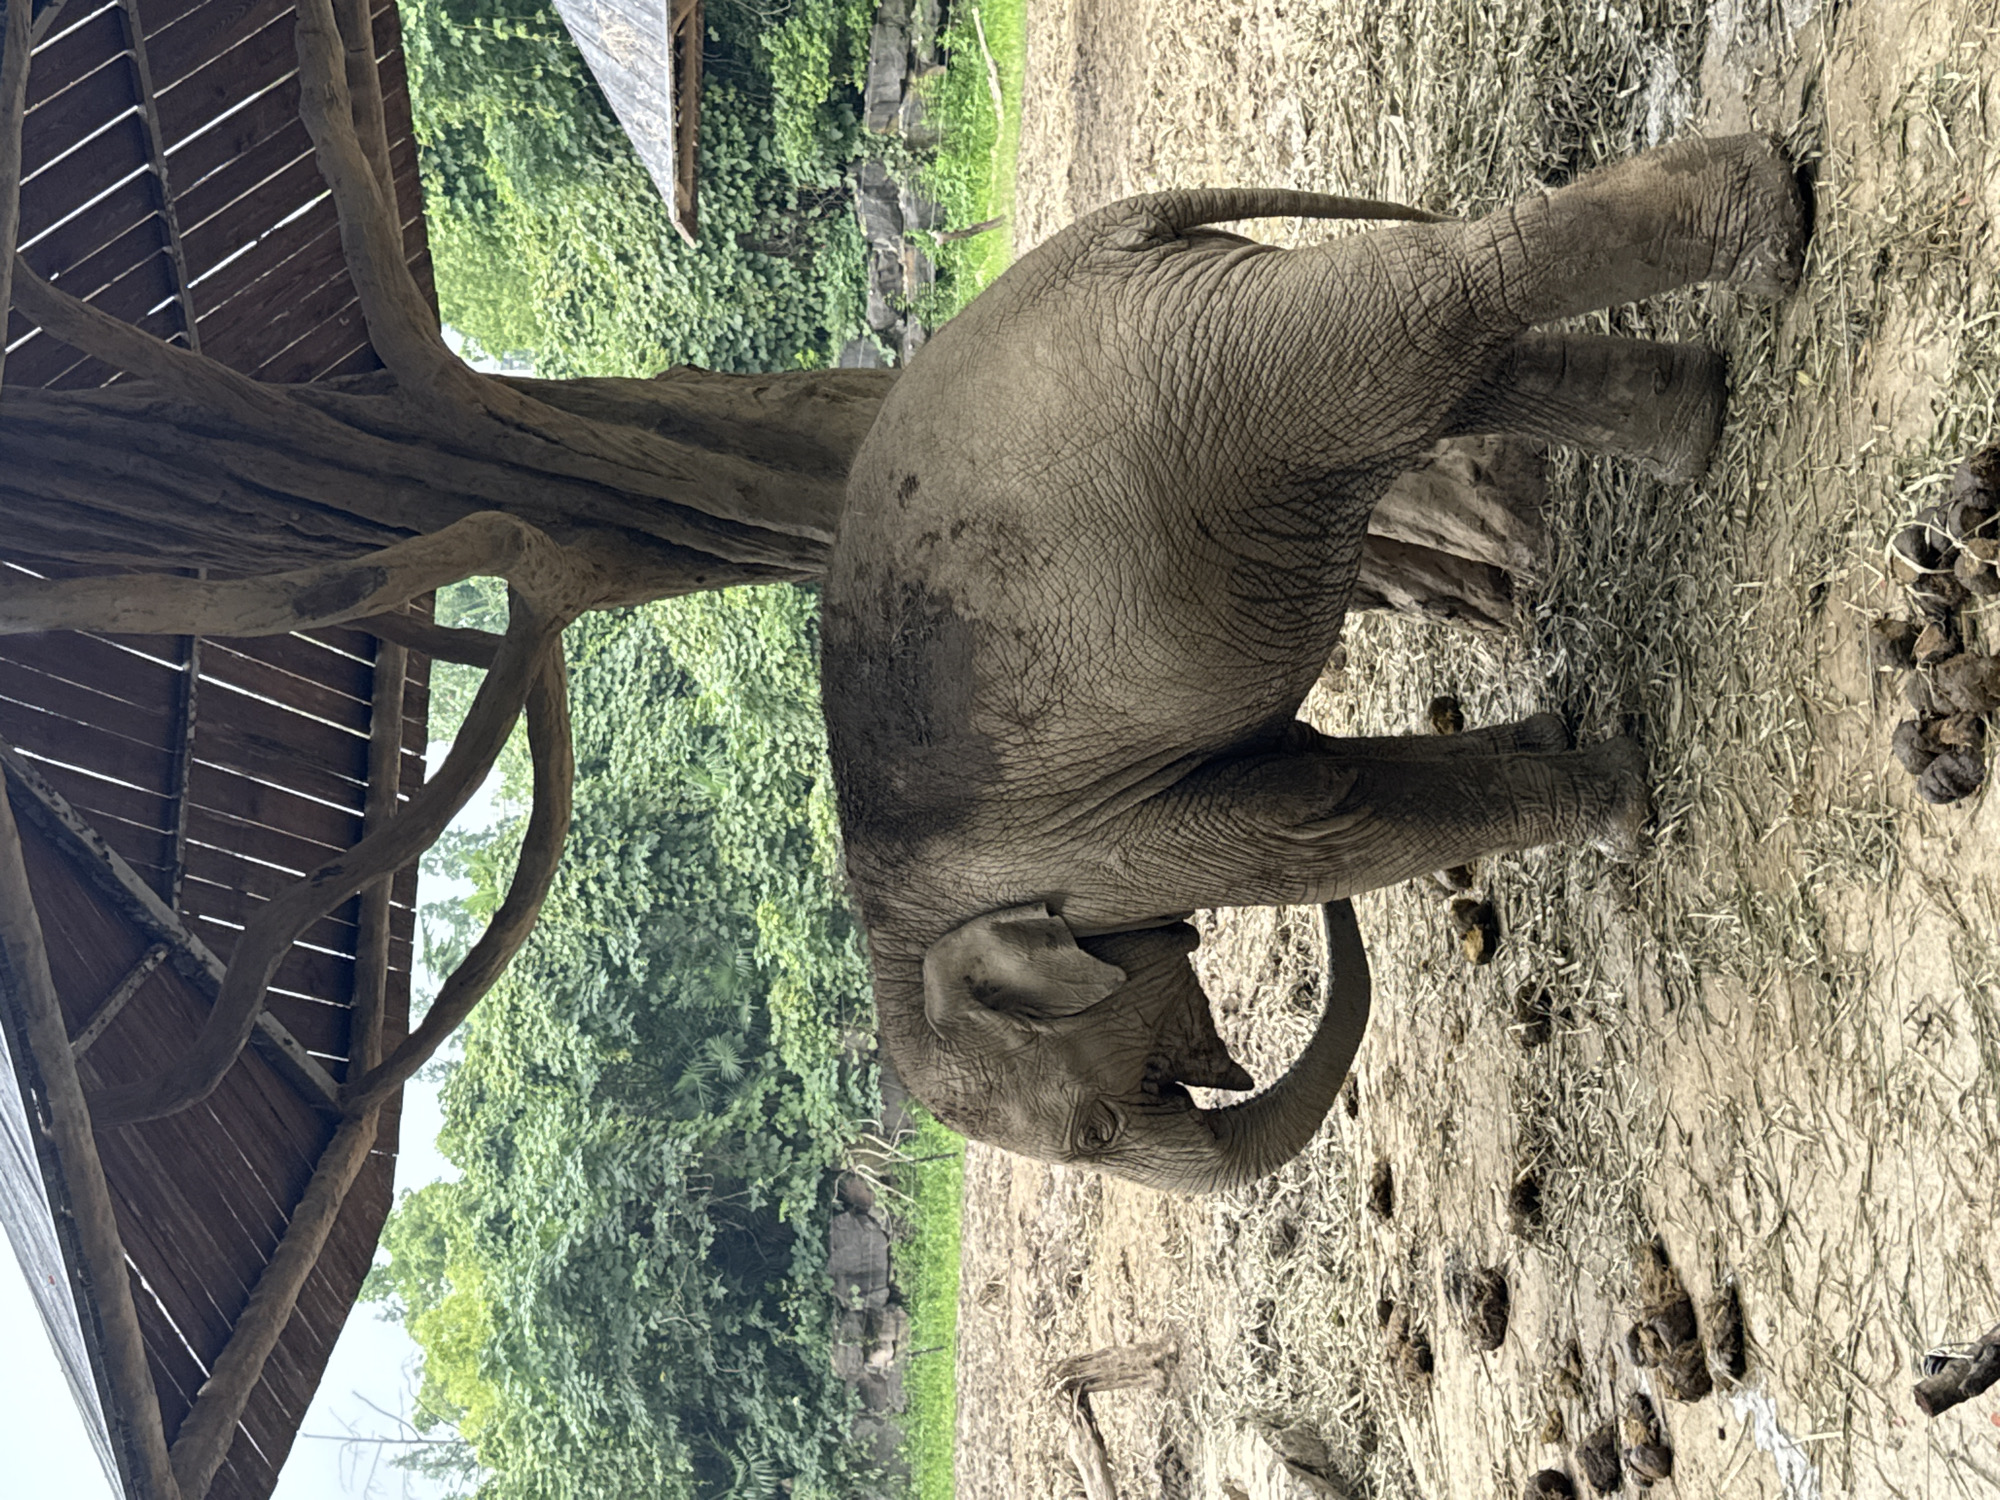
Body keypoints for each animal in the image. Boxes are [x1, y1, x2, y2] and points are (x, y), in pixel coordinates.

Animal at [819, 133, 1809, 1193]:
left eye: (1093, 1134)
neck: (889, 938)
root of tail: (1111, 238)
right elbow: (1331, 767)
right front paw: (1554, 740)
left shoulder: (1103, 848)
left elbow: (1318, 819)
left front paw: (1622, 809)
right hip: (1232, 354)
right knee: (1455, 383)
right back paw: (1699, 422)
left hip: (1210, 370)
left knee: (1440, 304)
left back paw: (1770, 229)